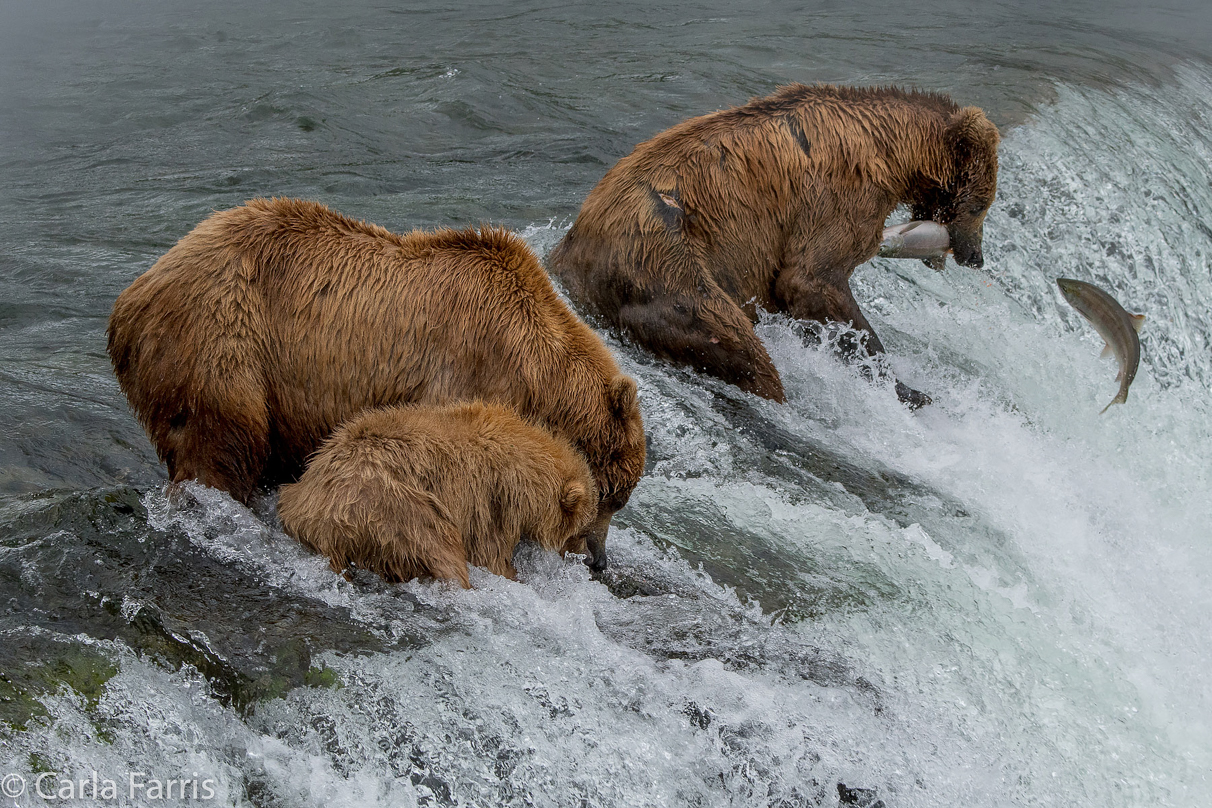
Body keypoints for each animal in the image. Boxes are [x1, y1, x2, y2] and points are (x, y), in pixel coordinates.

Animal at [273, 402, 596, 588]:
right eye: (583, 530)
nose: (592, 560)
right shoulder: (488, 501)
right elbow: (491, 557)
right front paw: (514, 575)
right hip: (389, 508)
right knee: (439, 547)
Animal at [552, 85, 1003, 407]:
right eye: (981, 205)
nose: (975, 256)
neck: (895, 153)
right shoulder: (841, 198)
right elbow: (812, 280)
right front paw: (907, 389)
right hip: (666, 260)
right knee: (736, 342)